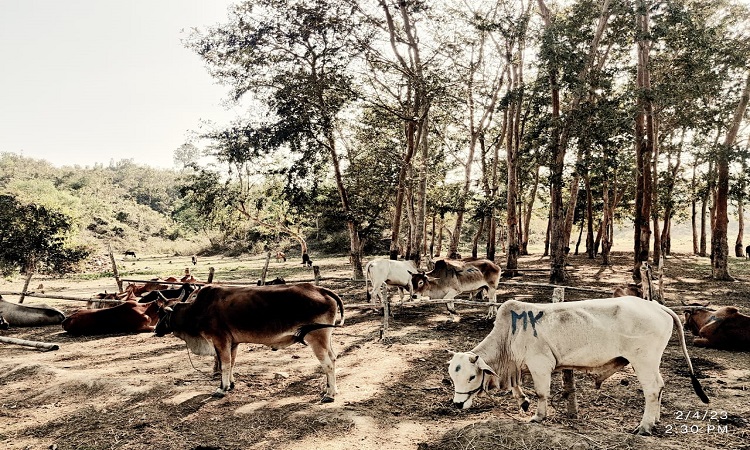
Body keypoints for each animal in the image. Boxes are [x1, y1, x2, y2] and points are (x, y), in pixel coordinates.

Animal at [156, 284, 350, 402]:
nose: (155, 330)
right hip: (326, 338)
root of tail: (320, 289)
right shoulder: (232, 343)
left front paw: (222, 388)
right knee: (333, 358)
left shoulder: (219, 339)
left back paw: (330, 394)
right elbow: (232, 364)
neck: (197, 310)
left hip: (316, 338)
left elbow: (224, 365)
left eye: (162, 312)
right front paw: (231, 384)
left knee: (327, 364)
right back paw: (331, 389)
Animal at [450, 296, 712, 436]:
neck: (509, 337)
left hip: (643, 360)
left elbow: (541, 393)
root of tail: (656, 305)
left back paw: (644, 426)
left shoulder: (540, 365)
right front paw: (523, 402)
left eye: (471, 377)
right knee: (660, 386)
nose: (457, 404)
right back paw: (654, 420)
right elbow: (518, 389)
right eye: (452, 377)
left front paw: (538, 416)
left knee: (653, 389)